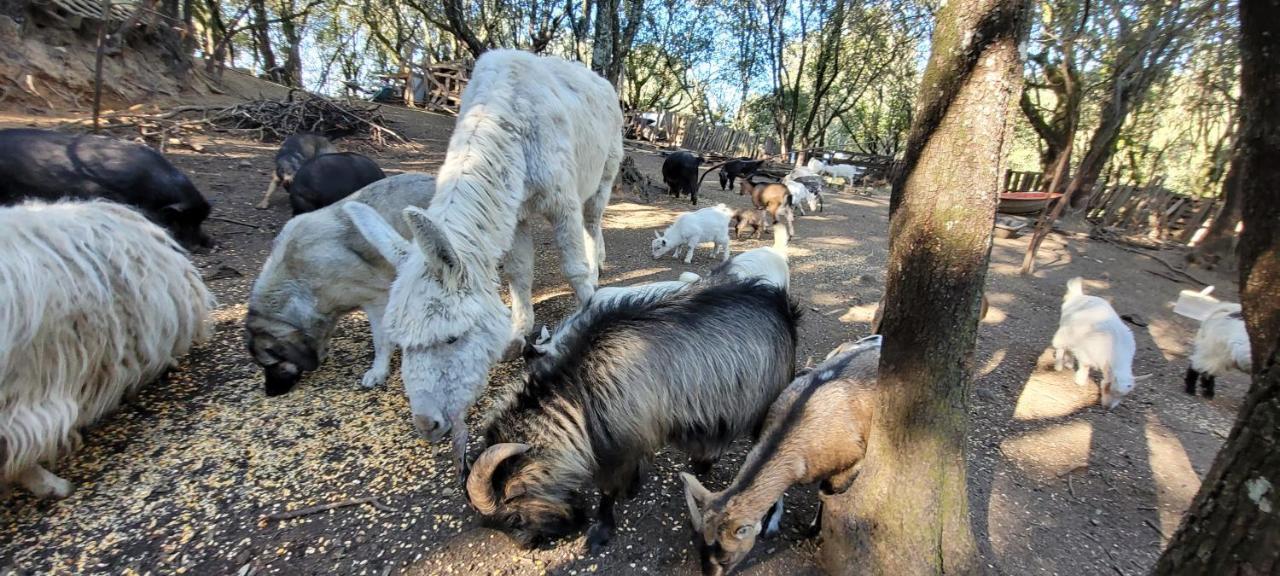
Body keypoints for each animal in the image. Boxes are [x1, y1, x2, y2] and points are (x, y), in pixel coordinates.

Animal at [343, 49, 622, 473]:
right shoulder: (516, 212)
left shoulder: (562, 200)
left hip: (603, 172)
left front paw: (589, 311)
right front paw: (518, 332)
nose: (427, 424)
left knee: (593, 220)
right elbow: (519, 273)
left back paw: (598, 264)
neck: (507, 119)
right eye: (401, 343)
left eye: (452, 337)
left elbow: (573, 269)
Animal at [1049, 276, 1152, 407]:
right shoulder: (1087, 350)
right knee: (1061, 345)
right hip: (1065, 328)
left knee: (1069, 348)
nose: (1108, 407)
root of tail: (1079, 296)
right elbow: (1085, 365)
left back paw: (1069, 363)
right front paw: (1080, 380)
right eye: (1108, 387)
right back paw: (1058, 366)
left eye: (1124, 396)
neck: (1114, 347)